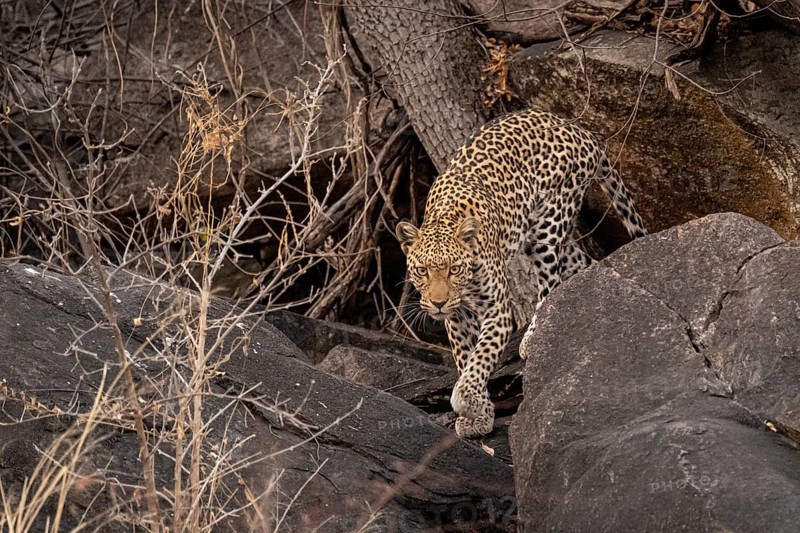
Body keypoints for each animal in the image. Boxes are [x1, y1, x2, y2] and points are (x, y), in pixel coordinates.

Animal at [395, 109, 647, 438]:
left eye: (455, 269)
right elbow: (466, 359)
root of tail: (579, 130)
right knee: (583, 264)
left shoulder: (498, 311)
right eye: (422, 270)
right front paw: (479, 414)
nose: (438, 303)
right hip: (550, 239)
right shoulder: (457, 319)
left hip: (548, 225)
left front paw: (466, 401)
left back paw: (532, 337)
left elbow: (481, 358)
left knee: (550, 285)